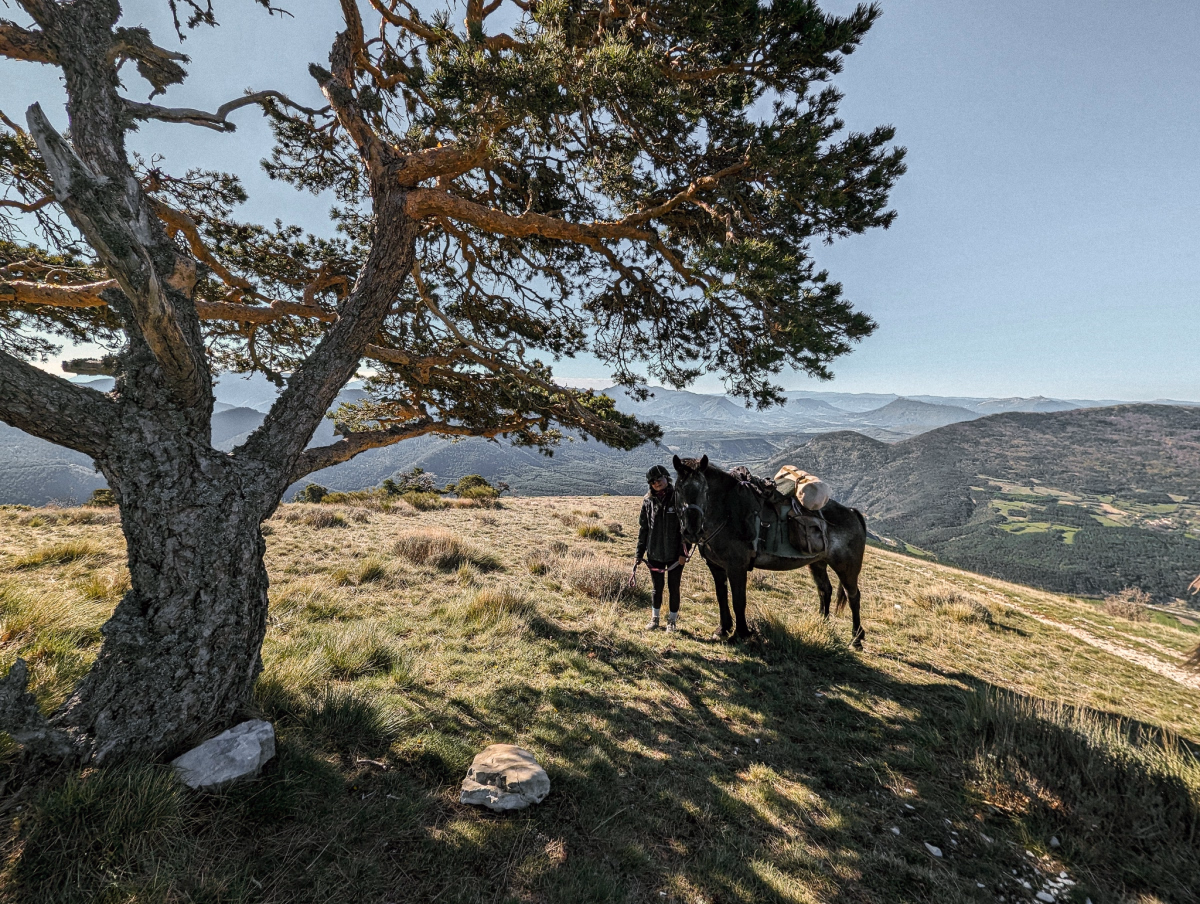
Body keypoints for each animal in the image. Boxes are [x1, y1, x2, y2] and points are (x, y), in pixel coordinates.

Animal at [672, 455, 868, 649]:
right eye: (678, 489)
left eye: (705, 490)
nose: (692, 531)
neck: (727, 511)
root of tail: (852, 513)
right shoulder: (716, 566)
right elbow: (721, 596)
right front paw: (723, 629)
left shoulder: (737, 567)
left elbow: (738, 600)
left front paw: (740, 634)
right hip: (817, 563)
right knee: (824, 590)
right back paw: (822, 624)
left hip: (847, 568)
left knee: (853, 596)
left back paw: (856, 639)